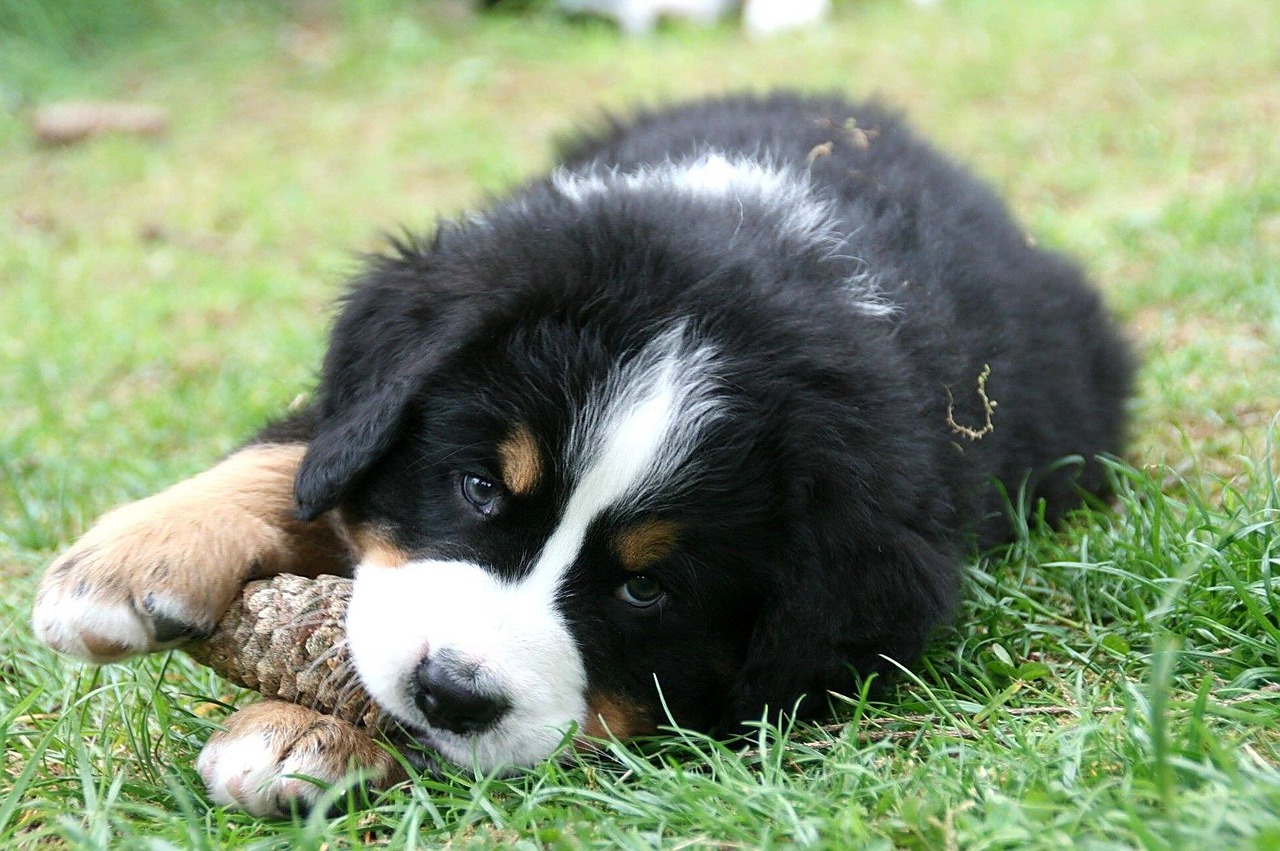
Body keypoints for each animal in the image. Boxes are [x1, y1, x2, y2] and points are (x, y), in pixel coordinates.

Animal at [30, 89, 1131, 813]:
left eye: (647, 590)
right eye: (477, 487)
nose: (451, 691)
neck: (753, 257)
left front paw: (302, 731)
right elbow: (298, 456)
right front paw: (123, 564)